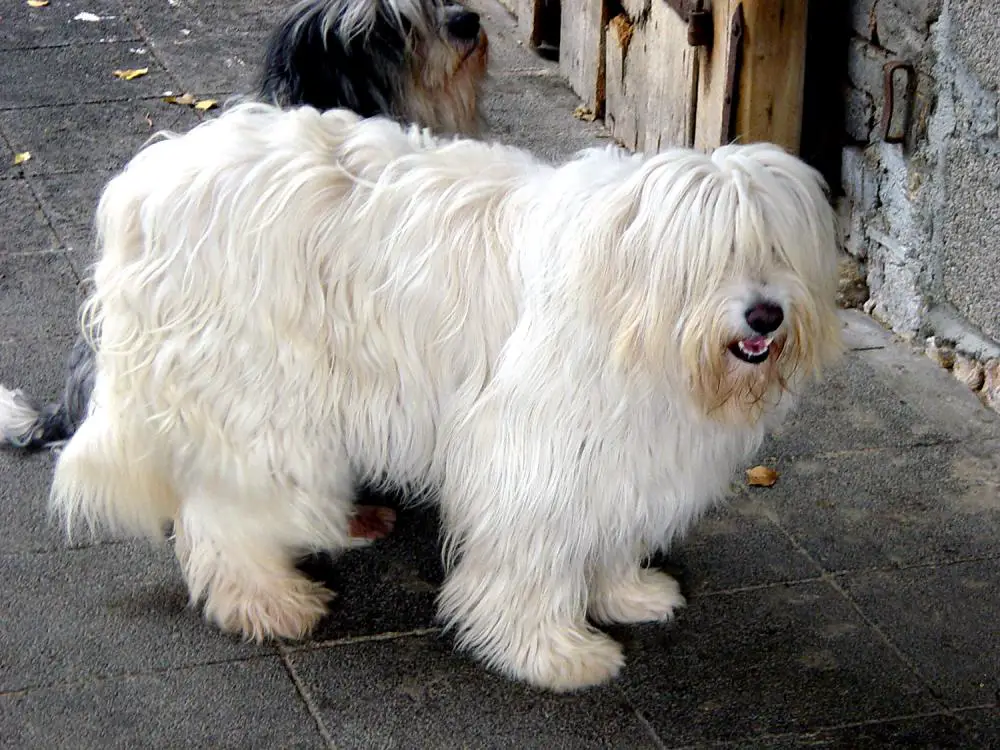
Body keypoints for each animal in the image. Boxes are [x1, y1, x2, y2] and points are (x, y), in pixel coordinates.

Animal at [48, 101, 844, 692]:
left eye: (778, 249)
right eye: (707, 258)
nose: (765, 316)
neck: (625, 301)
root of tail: (145, 183)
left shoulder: (621, 455)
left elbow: (609, 530)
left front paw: (624, 592)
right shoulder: (532, 454)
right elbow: (530, 557)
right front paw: (550, 651)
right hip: (257, 395)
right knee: (226, 510)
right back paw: (266, 599)